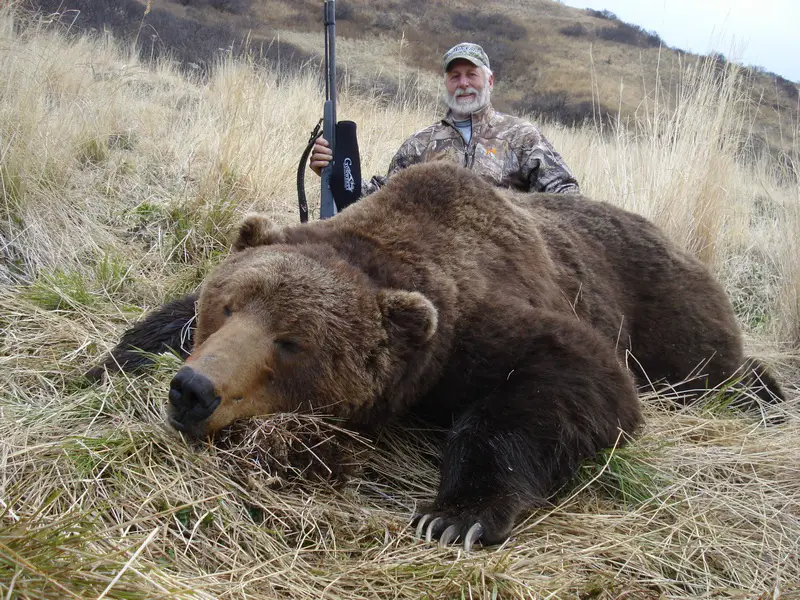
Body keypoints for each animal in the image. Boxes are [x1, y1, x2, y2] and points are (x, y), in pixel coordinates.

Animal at [90, 162, 784, 552]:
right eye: (228, 305)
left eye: (292, 343)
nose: (194, 390)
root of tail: (680, 242)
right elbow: (160, 322)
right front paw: (106, 363)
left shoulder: (478, 327)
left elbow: (573, 379)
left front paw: (456, 516)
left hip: (664, 309)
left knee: (707, 366)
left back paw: (767, 394)